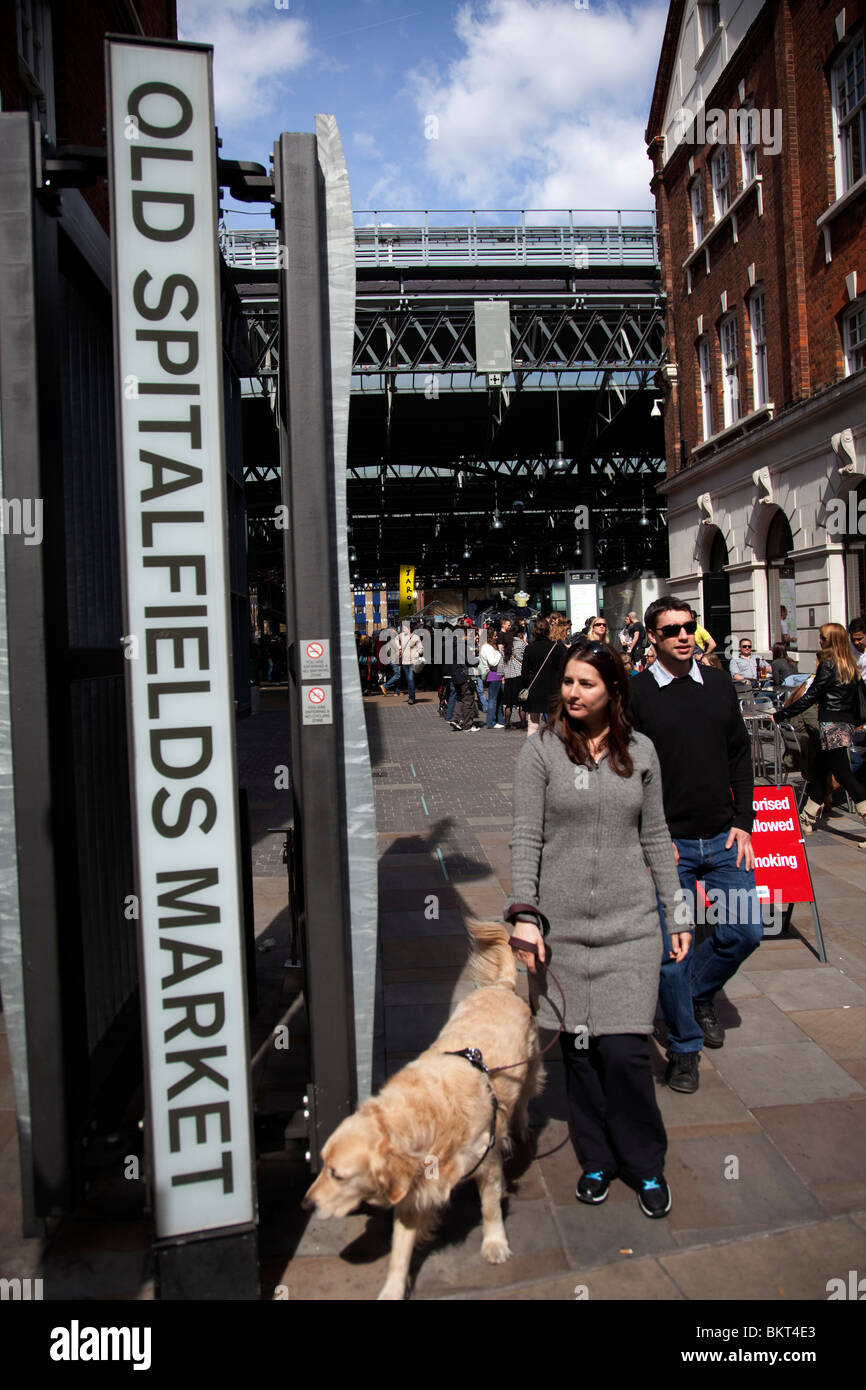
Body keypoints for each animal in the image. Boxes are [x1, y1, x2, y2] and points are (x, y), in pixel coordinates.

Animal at [303, 922, 542, 1301]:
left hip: (530, 1070)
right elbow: (399, 1250)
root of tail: (501, 987)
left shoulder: (486, 1164)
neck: (427, 1118)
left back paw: (519, 1126)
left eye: (337, 1175)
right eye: (321, 1164)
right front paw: (392, 1289)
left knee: (523, 1102)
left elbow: (489, 1207)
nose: (306, 1206)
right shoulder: (412, 1193)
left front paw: (494, 1244)